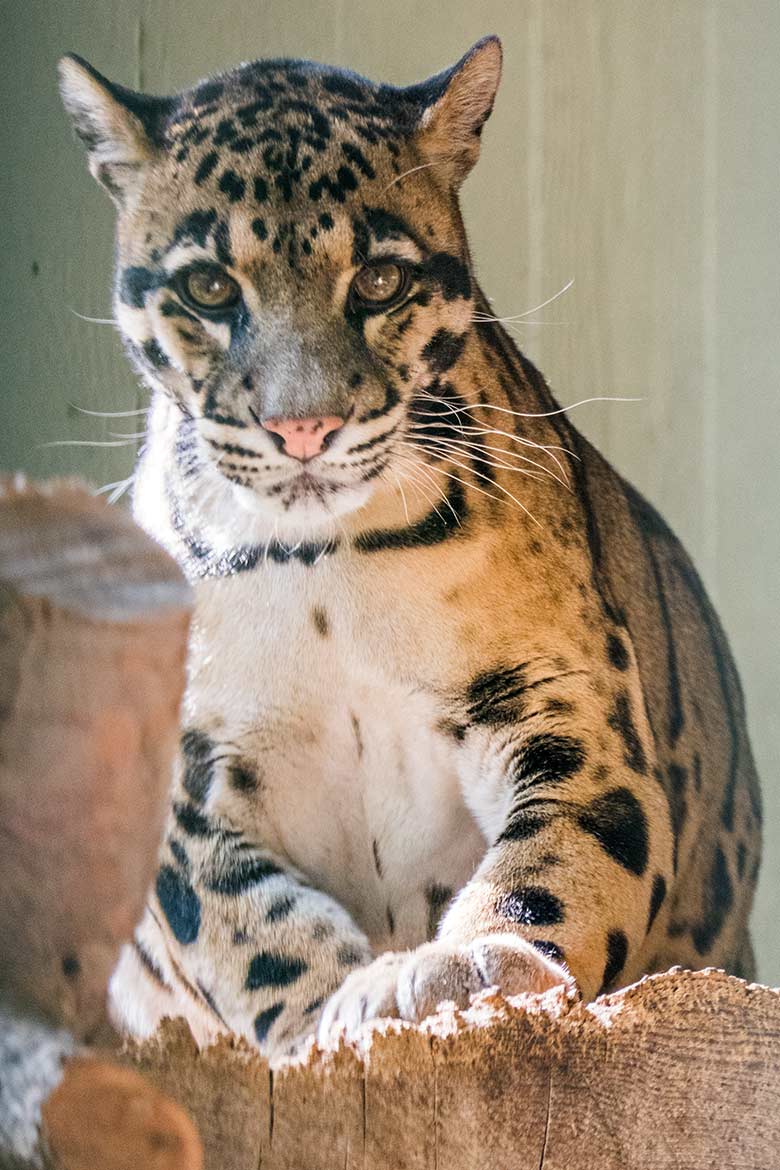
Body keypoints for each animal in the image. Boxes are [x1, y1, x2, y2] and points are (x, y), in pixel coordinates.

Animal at [61, 34, 762, 1062]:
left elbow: (562, 850)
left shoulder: (558, 690)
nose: (303, 427)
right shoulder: (185, 779)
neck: (317, 562)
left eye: (380, 283)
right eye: (209, 287)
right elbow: (243, 927)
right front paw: (325, 1017)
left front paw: (461, 970)